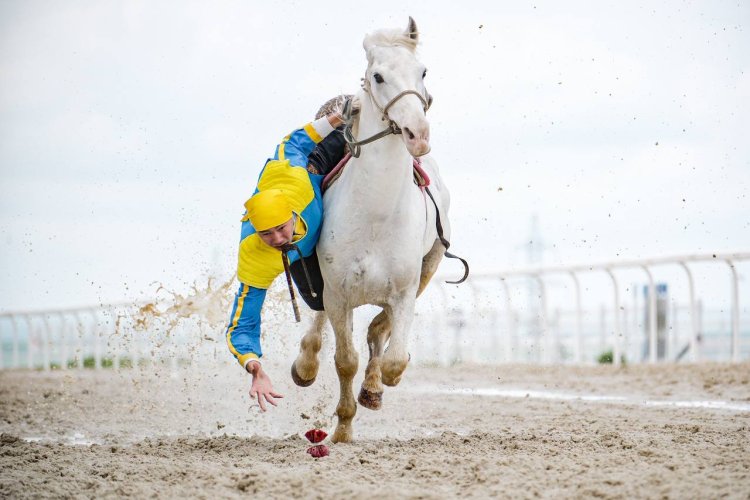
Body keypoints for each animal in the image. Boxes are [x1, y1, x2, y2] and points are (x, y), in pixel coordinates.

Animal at [292, 17, 456, 444]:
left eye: (423, 71)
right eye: (378, 76)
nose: (418, 134)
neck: (376, 216)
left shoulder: (405, 289)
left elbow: (394, 358)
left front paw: (374, 388)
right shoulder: (337, 292)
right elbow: (344, 359)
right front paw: (343, 427)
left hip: (428, 266)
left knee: (378, 331)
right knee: (321, 327)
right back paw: (305, 365)